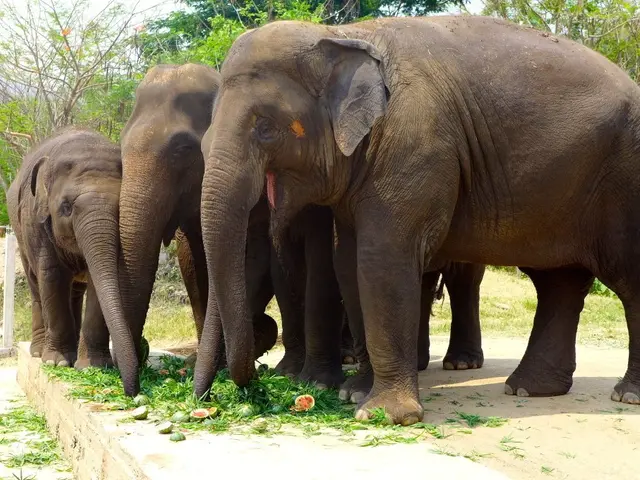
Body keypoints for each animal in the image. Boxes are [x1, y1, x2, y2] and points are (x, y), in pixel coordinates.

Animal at [7, 128, 139, 395]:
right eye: (66, 207)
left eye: (121, 206)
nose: (132, 391)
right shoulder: (37, 222)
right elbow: (52, 276)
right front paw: (56, 363)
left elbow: (99, 282)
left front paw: (93, 367)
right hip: (21, 235)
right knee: (36, 286)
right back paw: (38, 352)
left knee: (76, 291)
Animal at [199, 15, 640, 425]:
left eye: (265, 128)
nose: (214, 398)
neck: (345, 33)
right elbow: (349, 262)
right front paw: (354, 394)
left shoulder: (414, 145)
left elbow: (382, 259)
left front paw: (383, 415)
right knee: (557, 282)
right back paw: (529, 389)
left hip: (623, 179)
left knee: (624, 276)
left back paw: (625, 396)